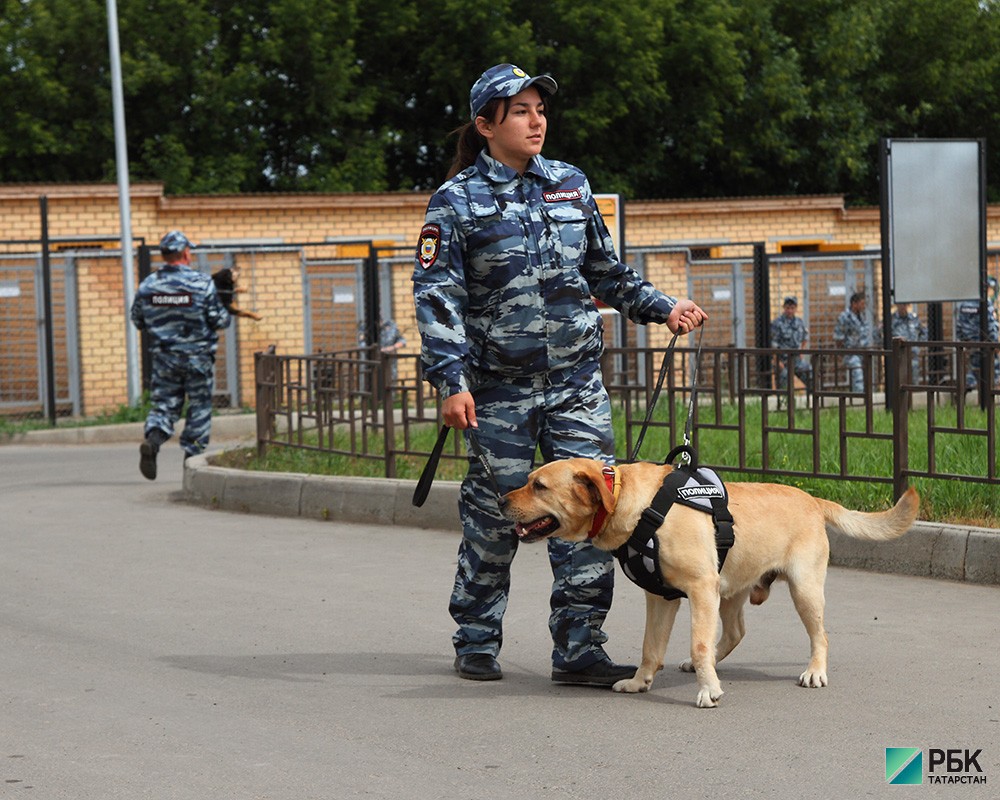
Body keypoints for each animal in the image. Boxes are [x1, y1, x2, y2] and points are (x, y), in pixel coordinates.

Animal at [504, 456, 916, 708]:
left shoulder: (700, 588)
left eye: (539, 486)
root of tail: (813, 499)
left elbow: (699, 642)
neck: (632, 504)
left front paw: (708, 690)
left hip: (803, 589)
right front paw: (641, 682)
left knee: (821, 635)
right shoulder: (661, 596)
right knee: (735, 632)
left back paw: (814, 670)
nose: (501, 500)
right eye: (529, 482)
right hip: (730, 587)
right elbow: (651, 648)